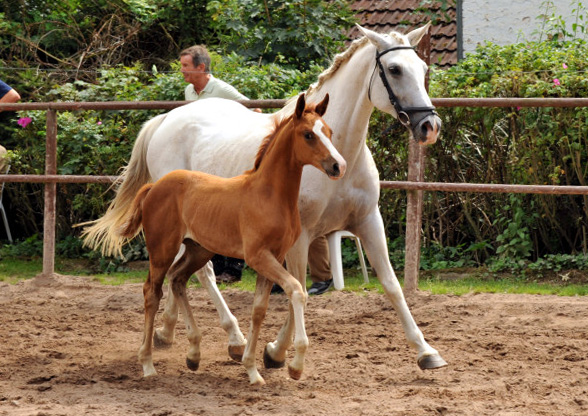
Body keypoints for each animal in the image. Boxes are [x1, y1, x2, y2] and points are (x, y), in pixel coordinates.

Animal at [121, 93, 346, 384]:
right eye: (308, 134)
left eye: (329, 132)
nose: (338, 166)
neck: (269, 195)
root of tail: (153, 187)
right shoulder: (258, 256)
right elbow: (297, 290)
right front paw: (295, 366)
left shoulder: (274, 258)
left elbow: (259, 309)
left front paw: (252, 369)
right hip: (162, 250)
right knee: (152, 291)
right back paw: (148, 364)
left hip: (198, 249)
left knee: (178, 279)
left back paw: (194, 354)